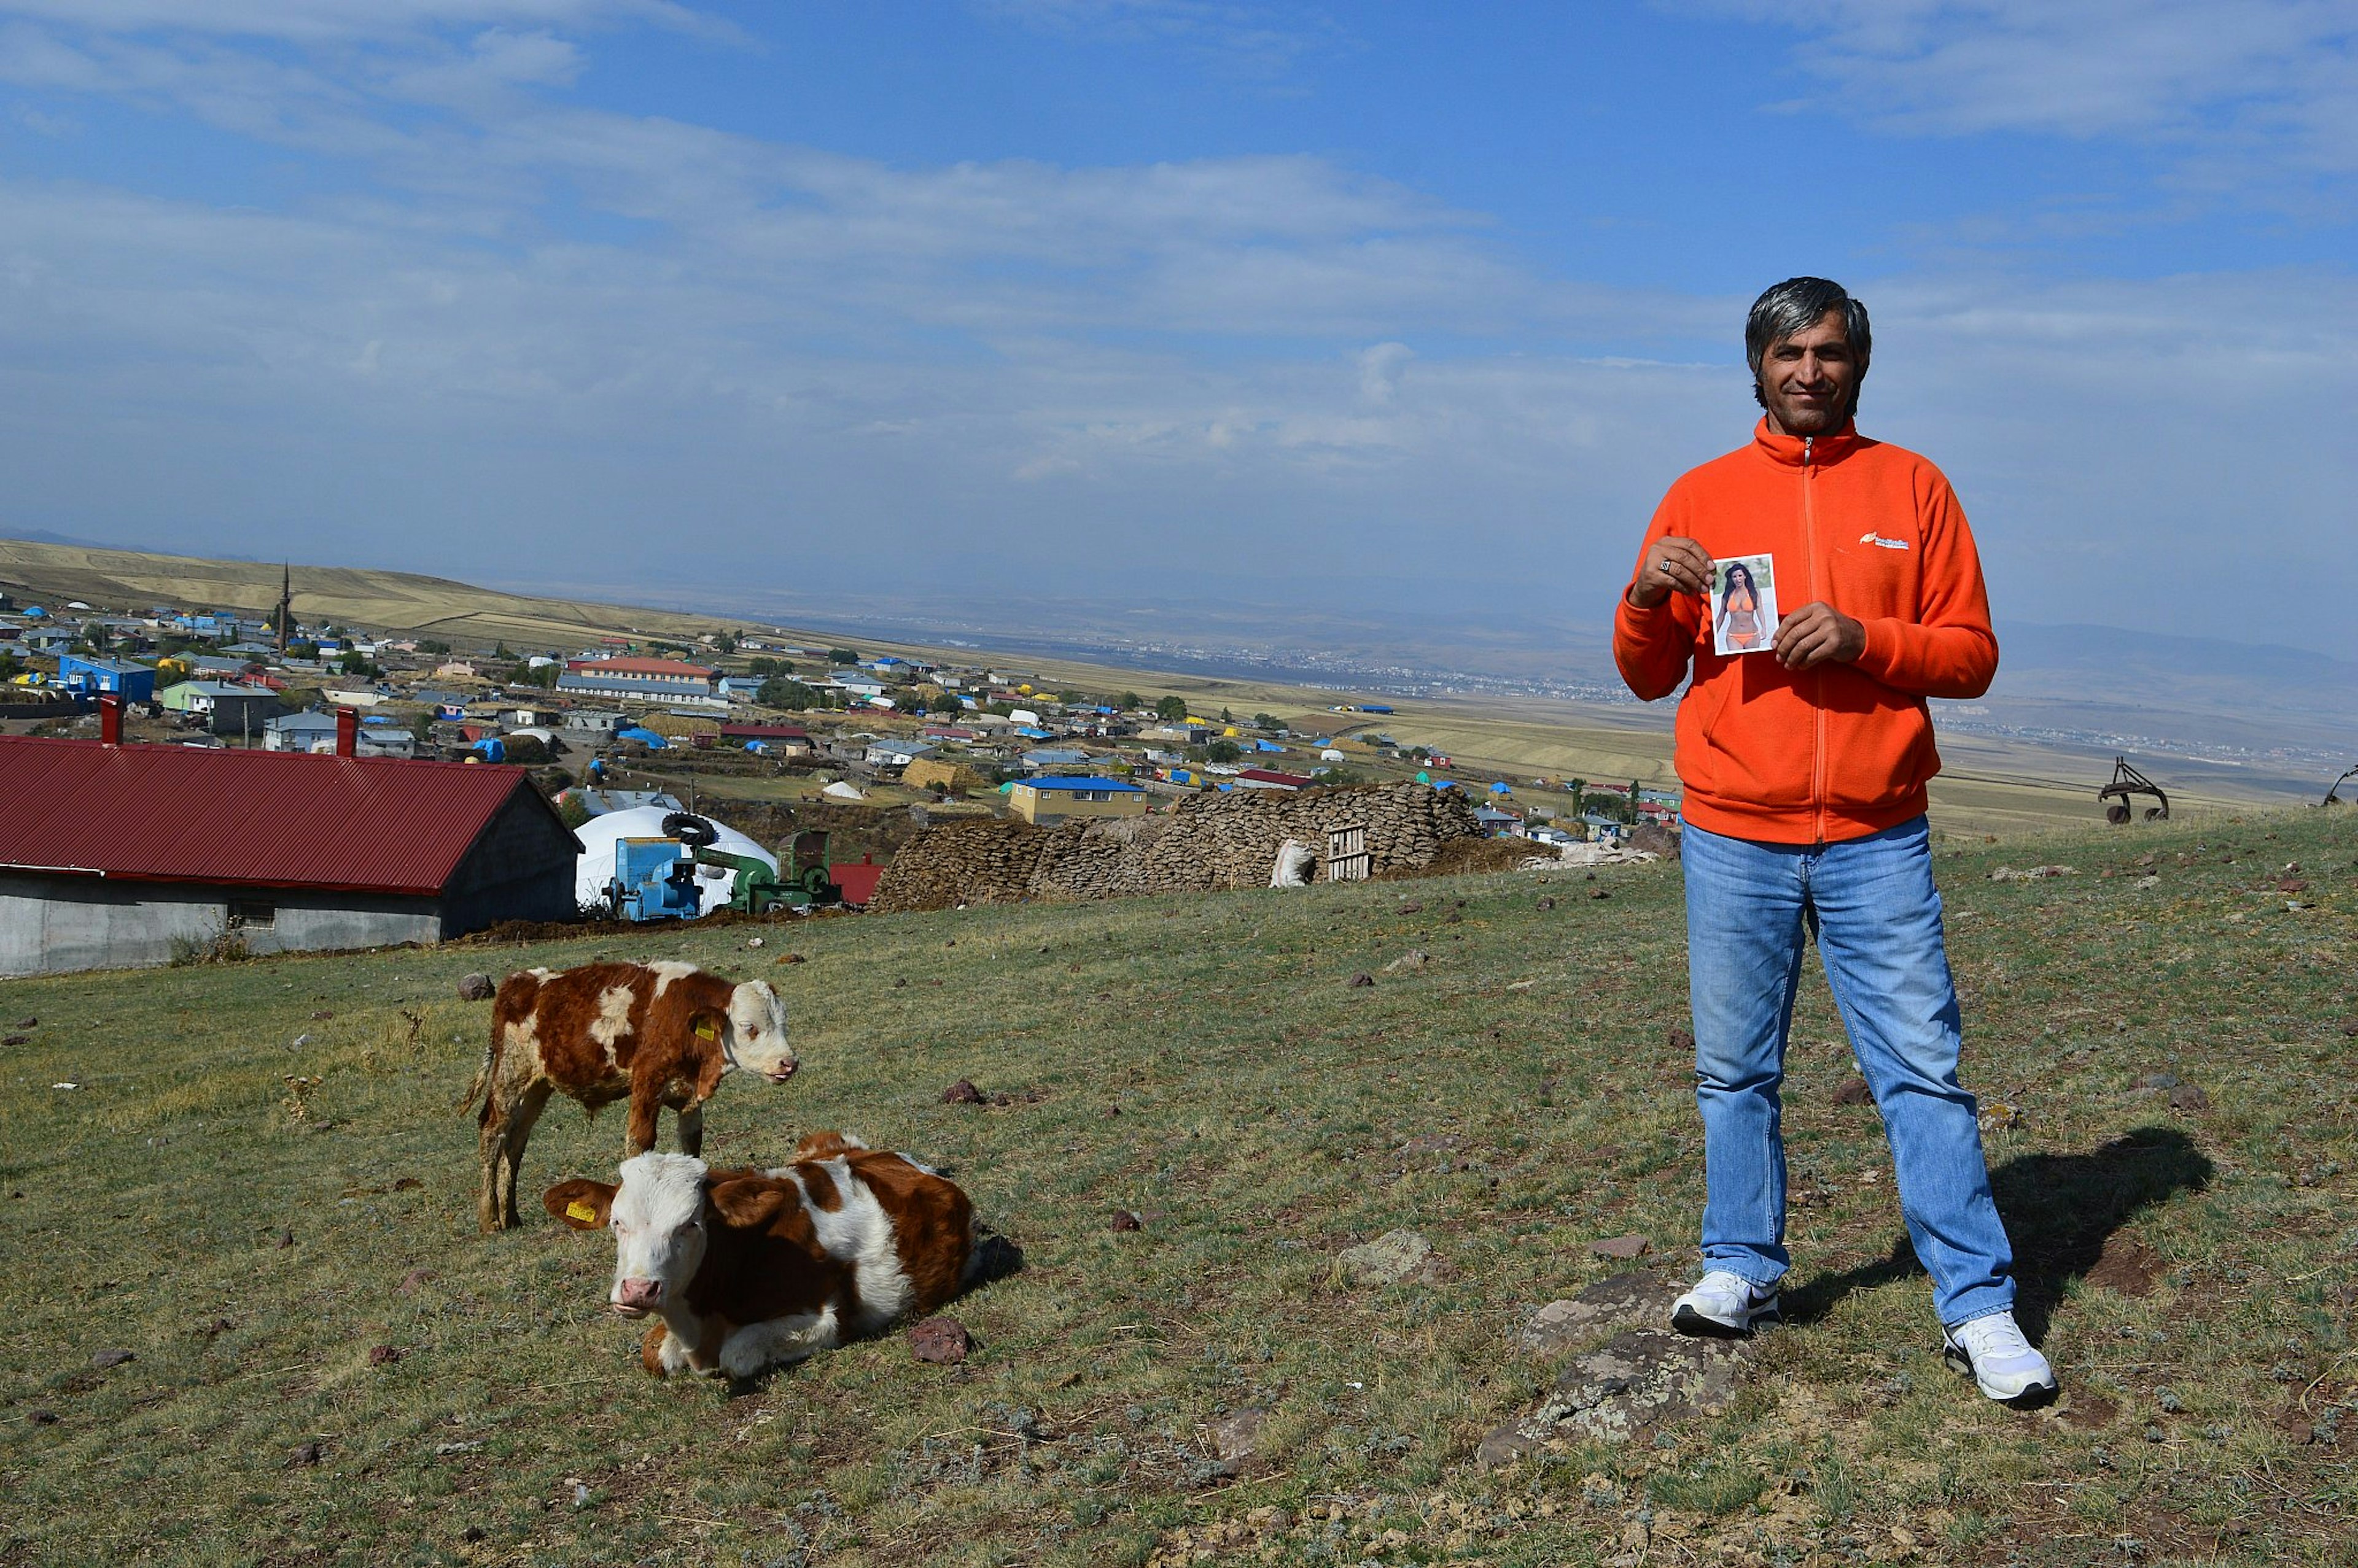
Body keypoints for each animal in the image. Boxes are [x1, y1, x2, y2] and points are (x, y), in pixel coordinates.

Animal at [464, 961, 796, 1226]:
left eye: (783, 1024)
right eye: (749, 1027)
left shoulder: (688, 1095)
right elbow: (640, 1142)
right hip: (510, 1075)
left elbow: (691, 1145)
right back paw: (490, 1219)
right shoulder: (647, 1083)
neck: (679, 1014)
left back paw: (511, 1216)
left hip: (537, 1086)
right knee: (492, 1132)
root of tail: (521, 980)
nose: (789, 1062)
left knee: (515, 1141)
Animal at [542, 1131, 976, 1376]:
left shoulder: (828, 1318)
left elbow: (737, 1355)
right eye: (617, 1222)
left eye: (691, 1224)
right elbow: (654, 1353)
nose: (638, 1290)